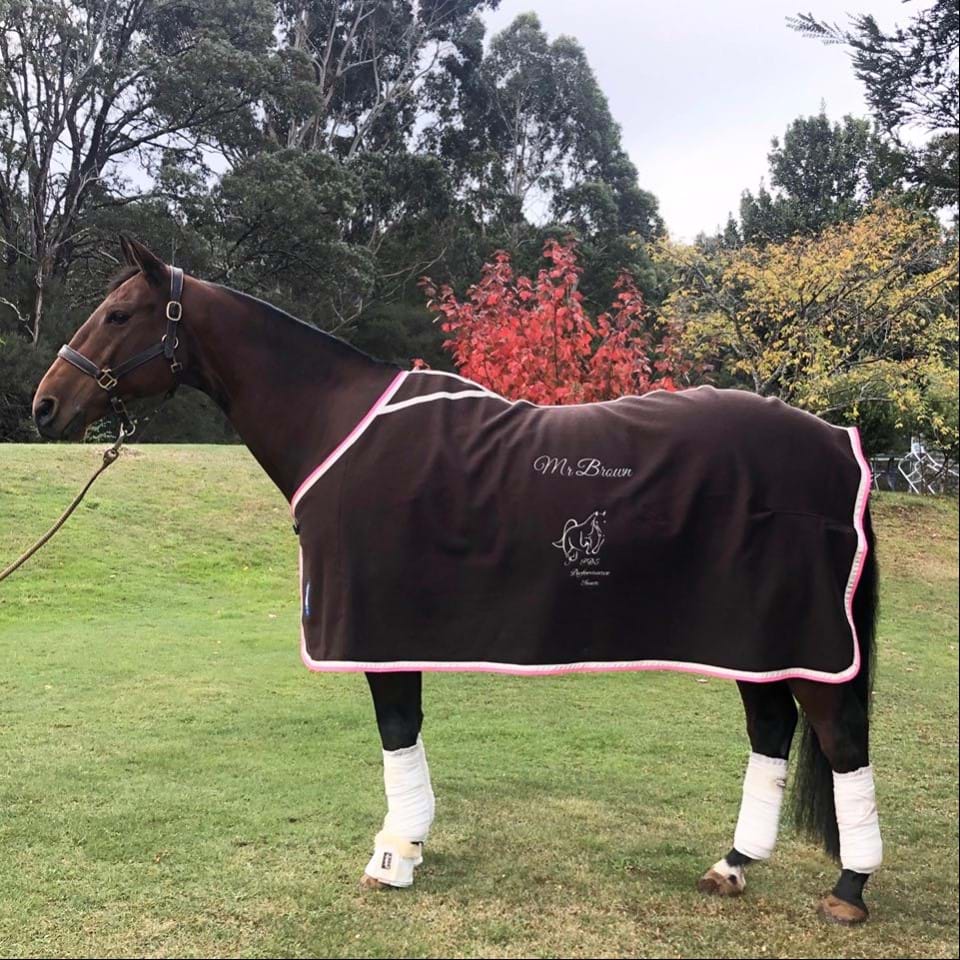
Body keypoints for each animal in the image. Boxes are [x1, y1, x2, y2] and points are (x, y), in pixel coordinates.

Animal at [32, 237, 882, 924]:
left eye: (117, 314)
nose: (44, 406)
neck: (336, 425)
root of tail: (838, 444)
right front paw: (406, 847)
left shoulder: (376, 630)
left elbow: (396, 733)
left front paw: (394, 854)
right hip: (753, 640)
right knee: (771, 734)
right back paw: (733, 866)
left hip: (801, 641)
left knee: (839, 743)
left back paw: (848, 891)